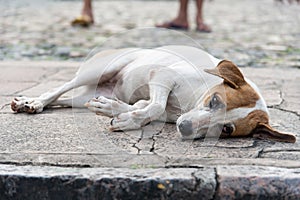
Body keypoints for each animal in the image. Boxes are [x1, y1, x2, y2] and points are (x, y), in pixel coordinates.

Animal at [11, 45, 296, 142]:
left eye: (226, 130)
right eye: (215, 101)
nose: (185, 128)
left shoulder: (157, 103)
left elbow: (145, 108)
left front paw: (120, 113)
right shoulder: (162, 76)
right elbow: (155, 105)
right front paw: (125, 118)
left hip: (86, 95)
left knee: (66, 100)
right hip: (98, 70)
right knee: (56, 90)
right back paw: (33, 102)